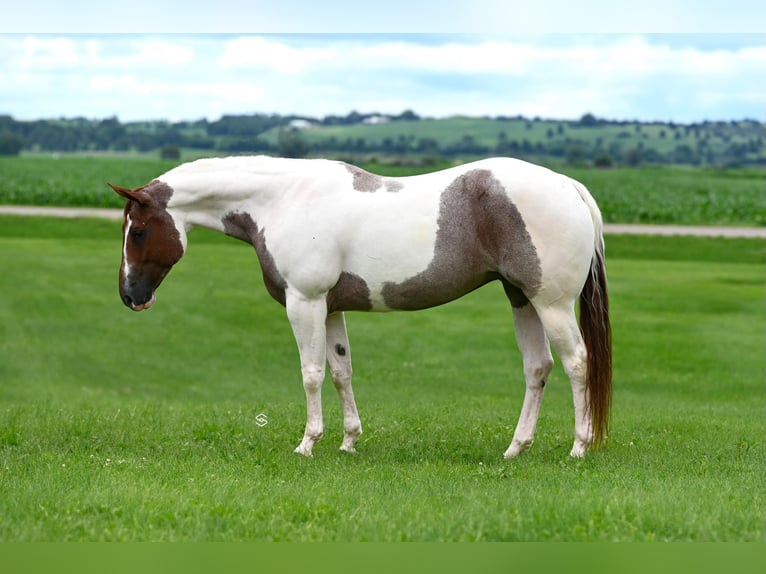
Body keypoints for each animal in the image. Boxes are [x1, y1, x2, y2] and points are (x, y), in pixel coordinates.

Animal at [109, 156, 611, 459]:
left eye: (138, 231)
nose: (131, 296)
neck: (281, 200)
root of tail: (569, 185)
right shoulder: (330, 308)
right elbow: (340, 371)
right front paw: (348, 441)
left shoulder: (305, 303)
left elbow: (311, 374)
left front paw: (308, 443)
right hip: (521, 298)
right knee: (538, 367)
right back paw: (516, 448)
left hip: (551, 304)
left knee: (577, 362)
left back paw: (579, 447)